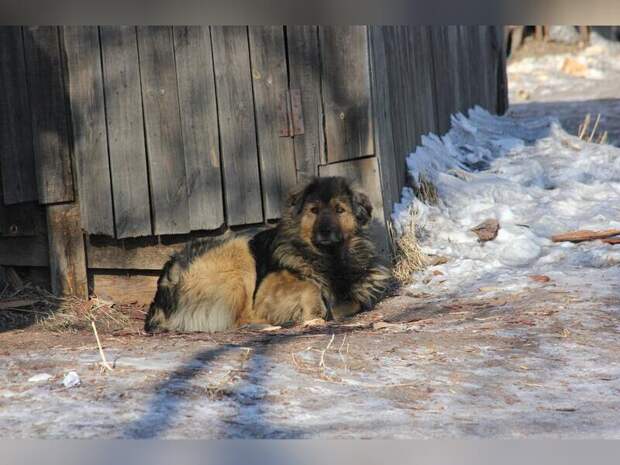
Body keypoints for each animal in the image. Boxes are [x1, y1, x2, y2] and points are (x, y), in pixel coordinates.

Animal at [144, 176, 392, 332]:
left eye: (340, 210)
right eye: (314, 210)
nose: (324, 231)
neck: (329, 259)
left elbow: (353, 302)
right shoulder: (265, 292)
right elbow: (310, 286)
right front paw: (315, 312)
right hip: (239, 256)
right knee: (242, 317)